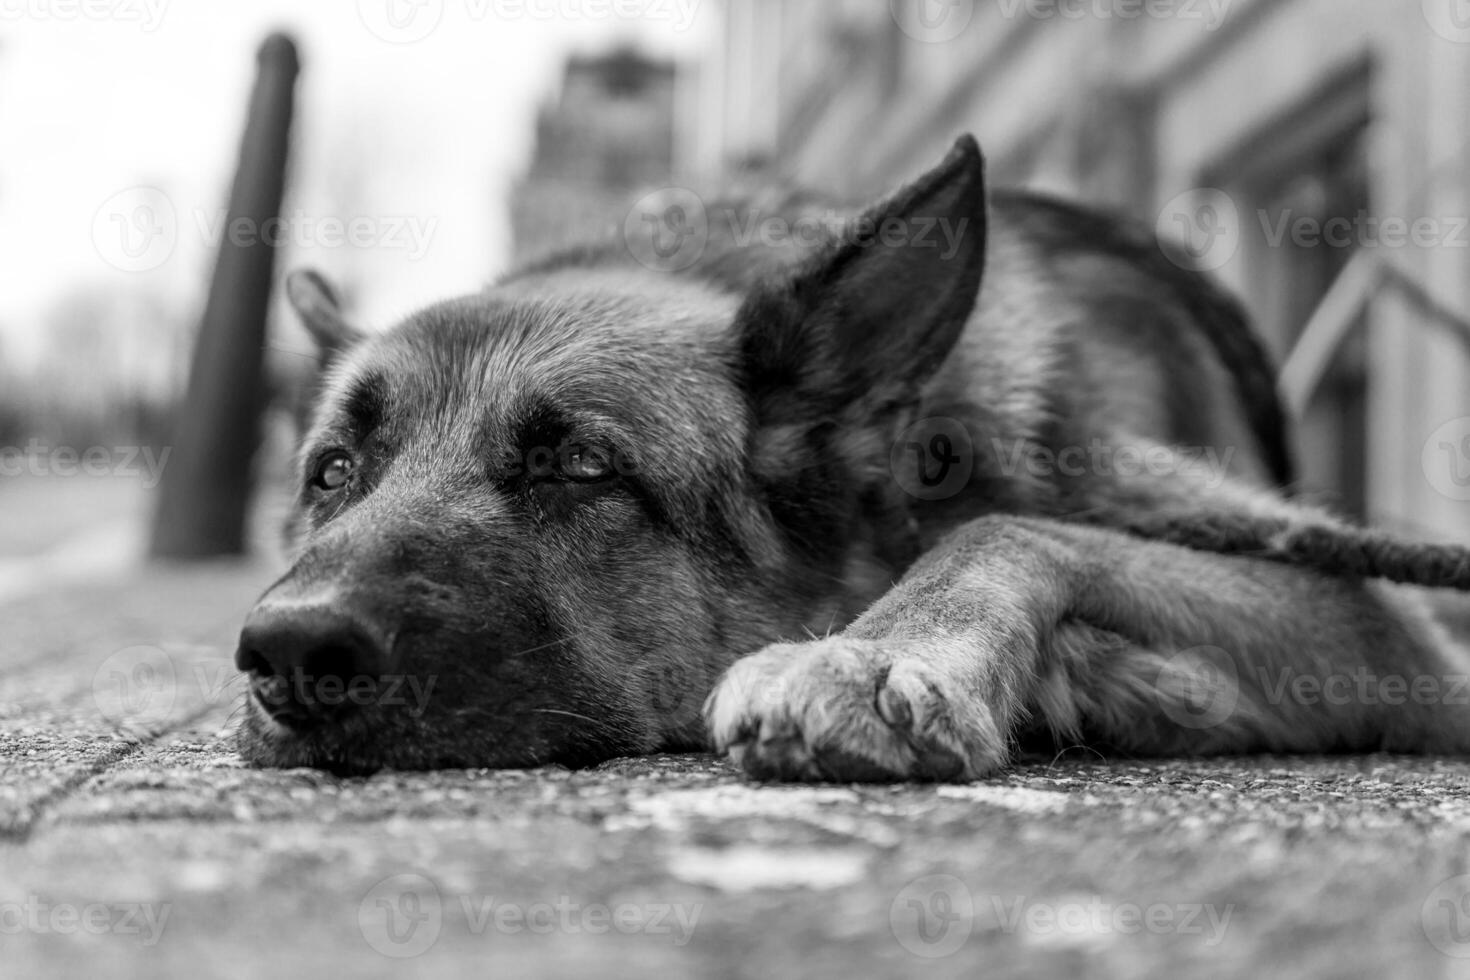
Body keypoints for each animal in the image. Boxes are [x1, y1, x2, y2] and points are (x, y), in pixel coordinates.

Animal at [232, 135, 1470, 781]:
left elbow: (1013, 523)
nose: (288, 648)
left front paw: (873, 653)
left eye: (580, 465)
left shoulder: (1386, 626)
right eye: (332, 472)